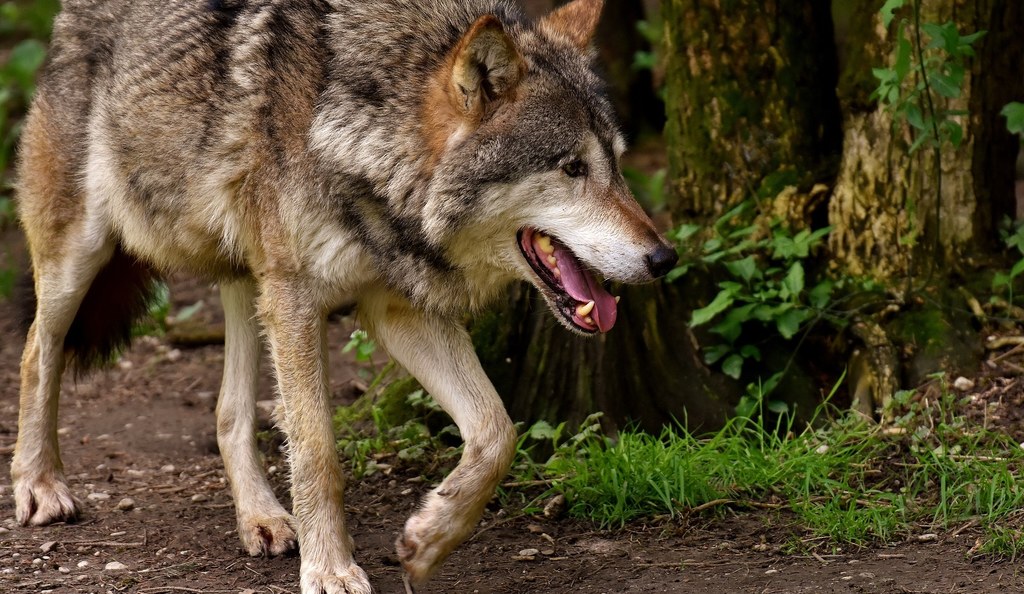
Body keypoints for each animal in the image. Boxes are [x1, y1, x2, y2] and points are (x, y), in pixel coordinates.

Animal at [12, 0, 679, 589]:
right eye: (572, 168)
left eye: (618, 166)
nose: (664, 258)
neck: (365, 140)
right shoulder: (299, 300)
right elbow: (318, 453)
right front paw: (330, 570)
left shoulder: (396, 309)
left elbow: (497, 432)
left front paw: (429, 539)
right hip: (83, 255)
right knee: (35, 351)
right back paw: (39, 485)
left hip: (249, 281)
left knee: (229, 411)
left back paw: (262, 518)